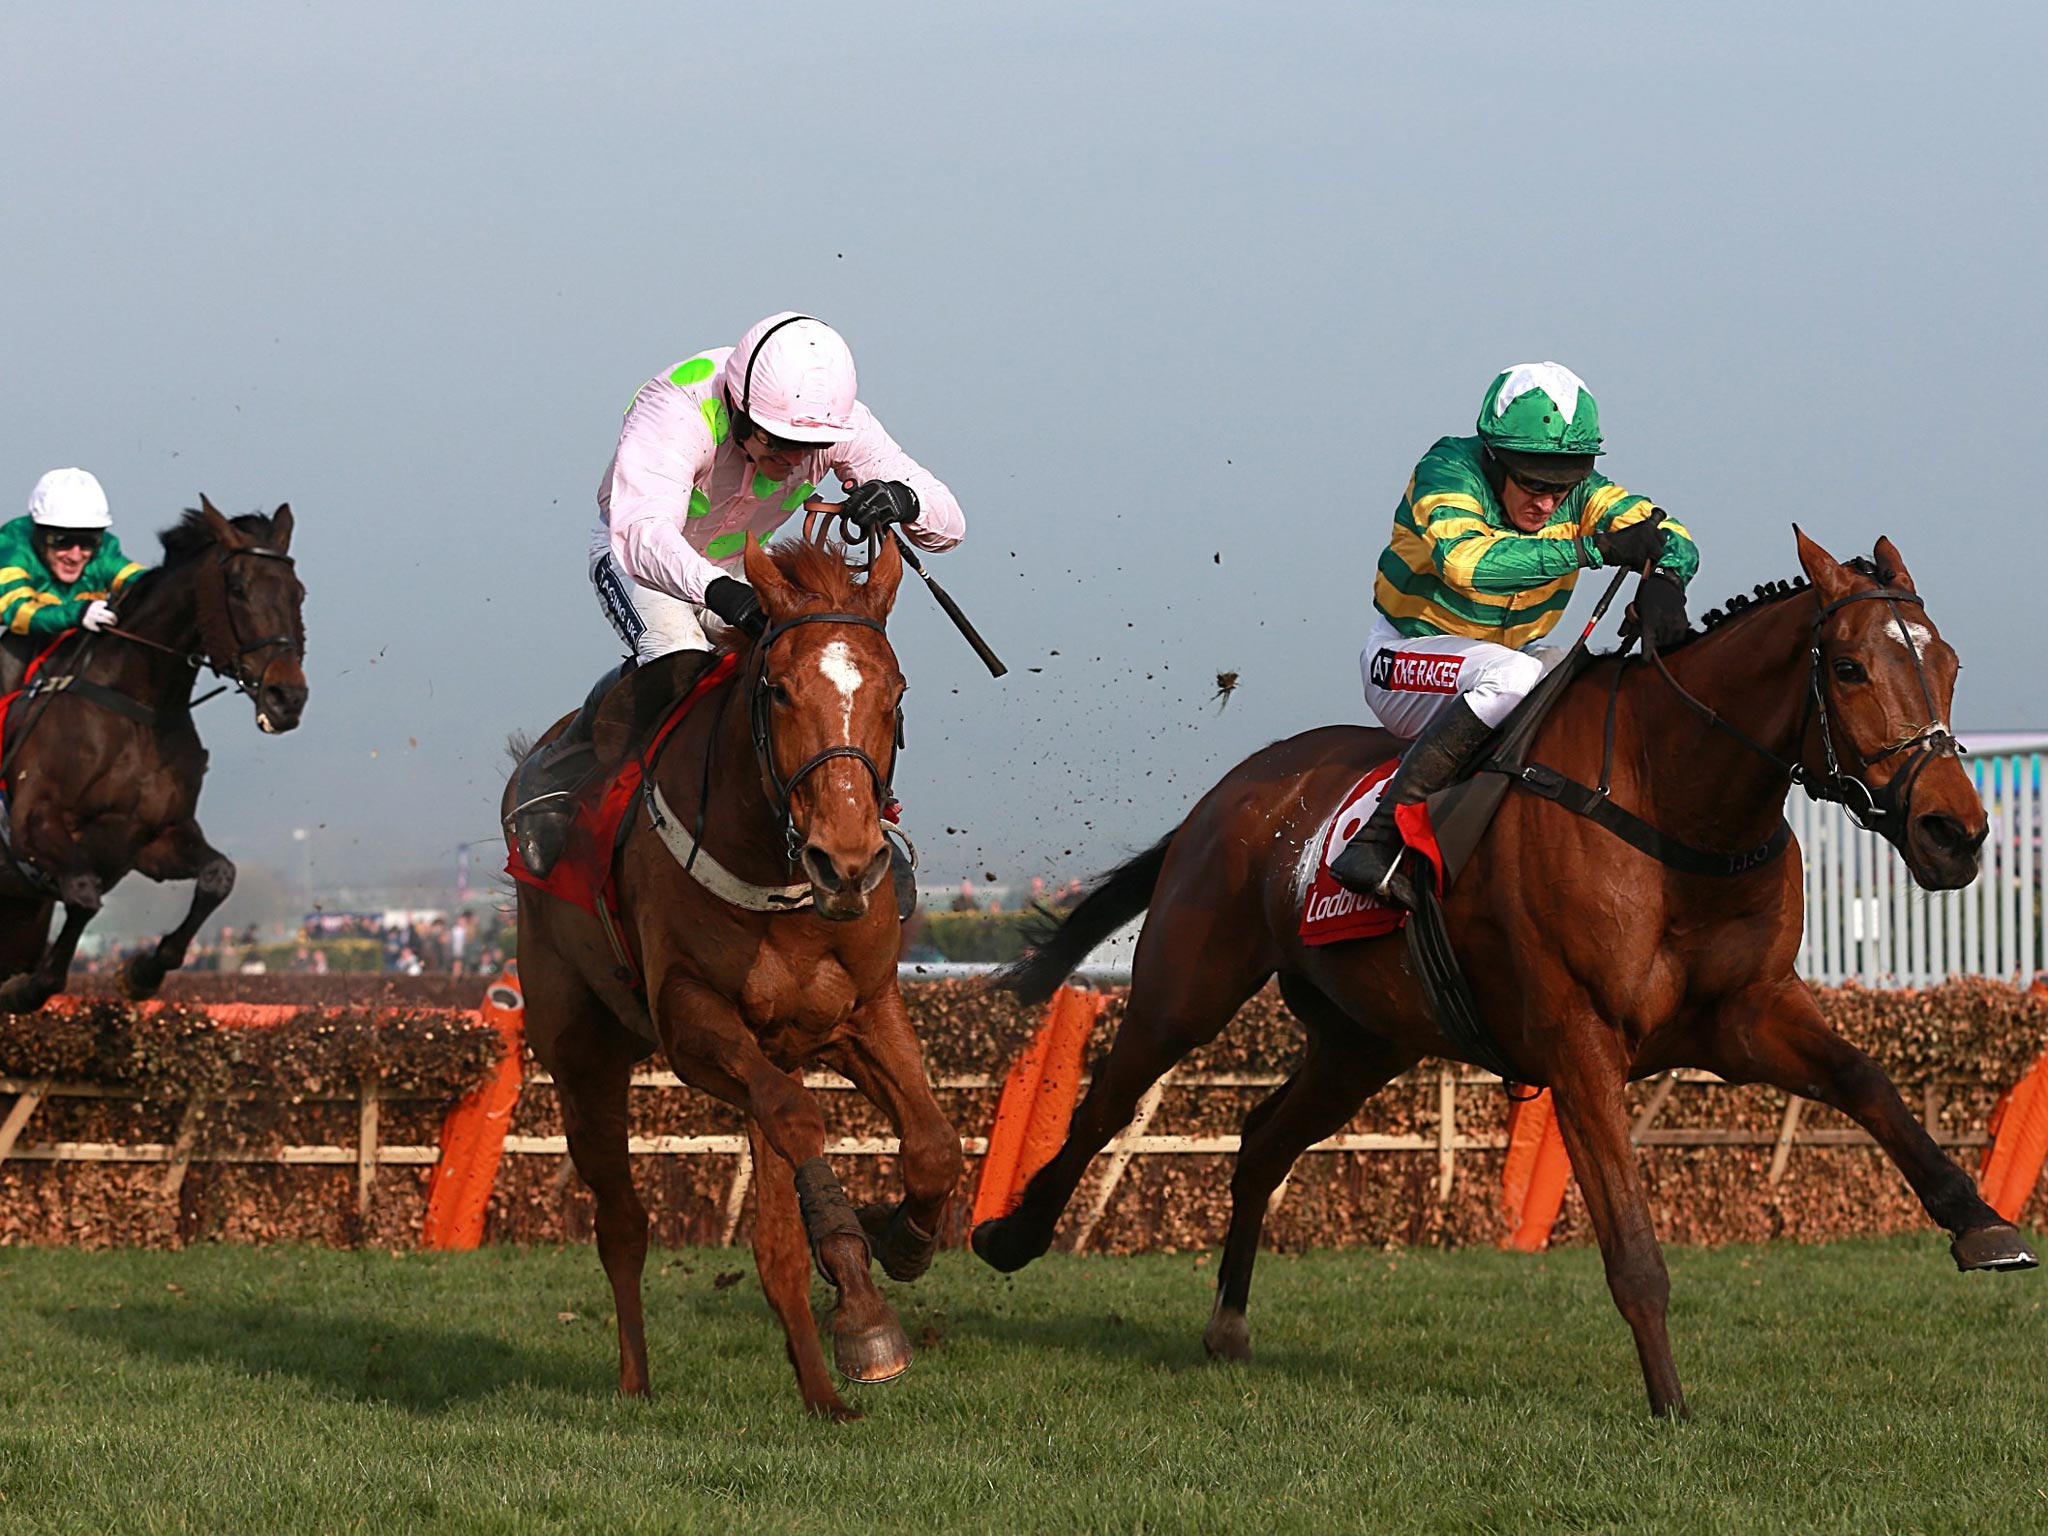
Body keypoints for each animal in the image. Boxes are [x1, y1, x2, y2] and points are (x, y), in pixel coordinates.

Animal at [0, 499, 307, 1015]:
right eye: (238, 588)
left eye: (297, 592)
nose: (288, 698)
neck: (137, 704)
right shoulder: (31, 824)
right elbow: (83, 894)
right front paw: (28, 988)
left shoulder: (153, 837)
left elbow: (218, 876)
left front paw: (140, 973)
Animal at [507, 536, 962, 1425]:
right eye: (779, 689)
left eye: (894, 691)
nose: (846, 861)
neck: (777, 878)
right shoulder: (691, 1023)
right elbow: (797, 1121)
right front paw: (865, 1312)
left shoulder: (862, 1012)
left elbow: (932, 1146)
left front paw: (898, 1242)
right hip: (581, 1055)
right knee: (622, 1223)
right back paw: (636, 1384)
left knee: (774, 1238)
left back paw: (822, 1391)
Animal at [974, 532, 2031, 1417]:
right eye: (1849, 667)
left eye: (1947, 663)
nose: (1956, 833)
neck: (1674, 805)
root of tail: (1229, 795)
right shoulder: (1579, 1041)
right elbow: (1632, 1247)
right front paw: (1670, 1406)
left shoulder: (1743, 1013)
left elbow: (1866, 1080)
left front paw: (1981, 1223)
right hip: (1185, 986)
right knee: (1108, 1102)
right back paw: (1009, 1235)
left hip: (1365, 1041)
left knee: (1263, 1139)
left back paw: (1228, 1325)